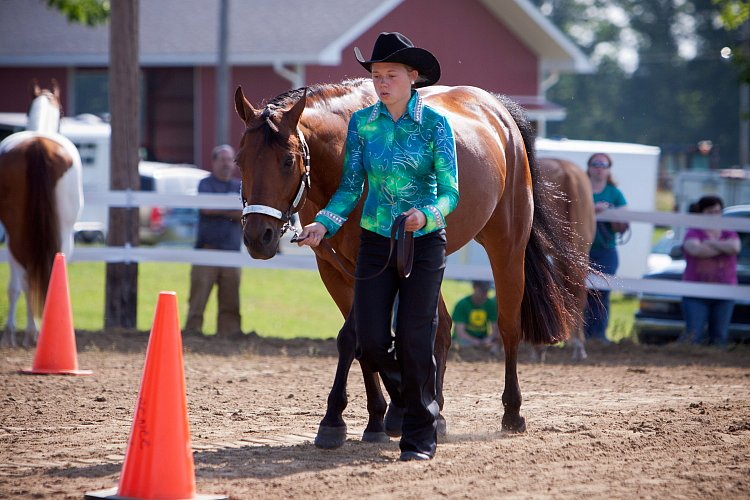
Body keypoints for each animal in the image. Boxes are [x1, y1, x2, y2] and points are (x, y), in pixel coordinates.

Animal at [232, 79, 592, 450]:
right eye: (239, 160)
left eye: (288, 161)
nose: (258, 236)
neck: (344, 158)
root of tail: (498, 110)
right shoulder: (333, 269)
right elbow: (366, 341)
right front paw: (379, 417)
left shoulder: (368, 267)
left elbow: (354, 337)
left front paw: (336, 419)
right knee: (442, 328)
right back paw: (435, 411)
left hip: (507, 247)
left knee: (507, 327)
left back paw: (512, 412)